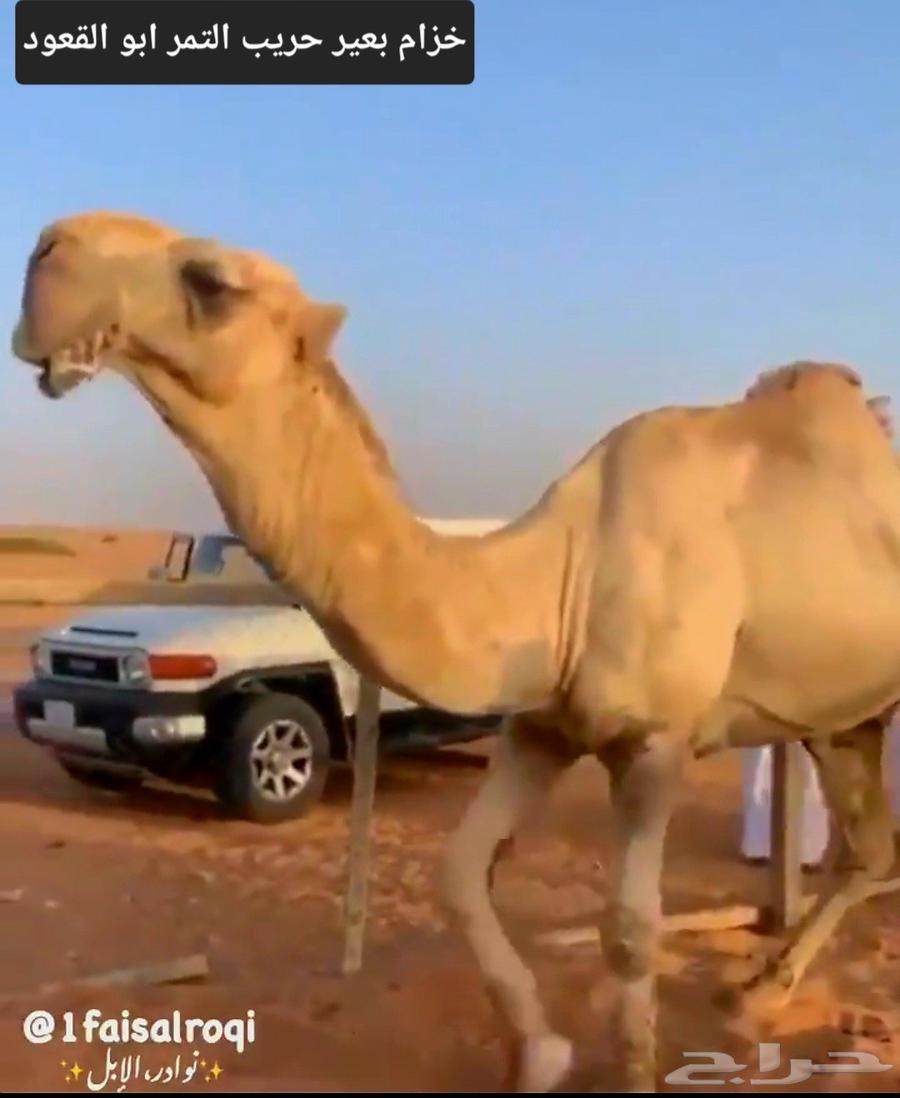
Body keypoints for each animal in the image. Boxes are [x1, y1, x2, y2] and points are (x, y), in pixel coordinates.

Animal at [10, 211, 900, 1093]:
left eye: (214, 280)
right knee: (869, 848)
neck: (557, 580)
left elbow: (627, 929)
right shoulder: (539, 727)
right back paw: (759, 987)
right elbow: (461, 875)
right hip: (842, 714)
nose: (51, 245)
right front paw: (540, 1055)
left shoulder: (655, 740)